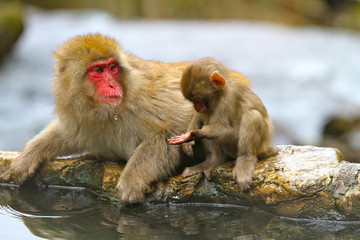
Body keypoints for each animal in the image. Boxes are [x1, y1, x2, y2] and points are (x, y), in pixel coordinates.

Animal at [7, 33, 249, 202]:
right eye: (98, 70)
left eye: (113, 67)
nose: (112, 85)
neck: (107, 111)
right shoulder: (80, 115)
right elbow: (68, 135)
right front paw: (30, 155)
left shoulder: (143, 100)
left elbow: (170, 131)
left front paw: (133, 179)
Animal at [169, 57, 278, 190]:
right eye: (192, 101)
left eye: (197, 100)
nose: (196, 107)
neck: (219, 95)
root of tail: (266, 147)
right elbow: (199, 116)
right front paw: (189, 138)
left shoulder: (228, 99)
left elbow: (229, 129)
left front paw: (195, 134)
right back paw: (213, 160)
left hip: (257, 146)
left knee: (252, 116)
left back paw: (245, 160)